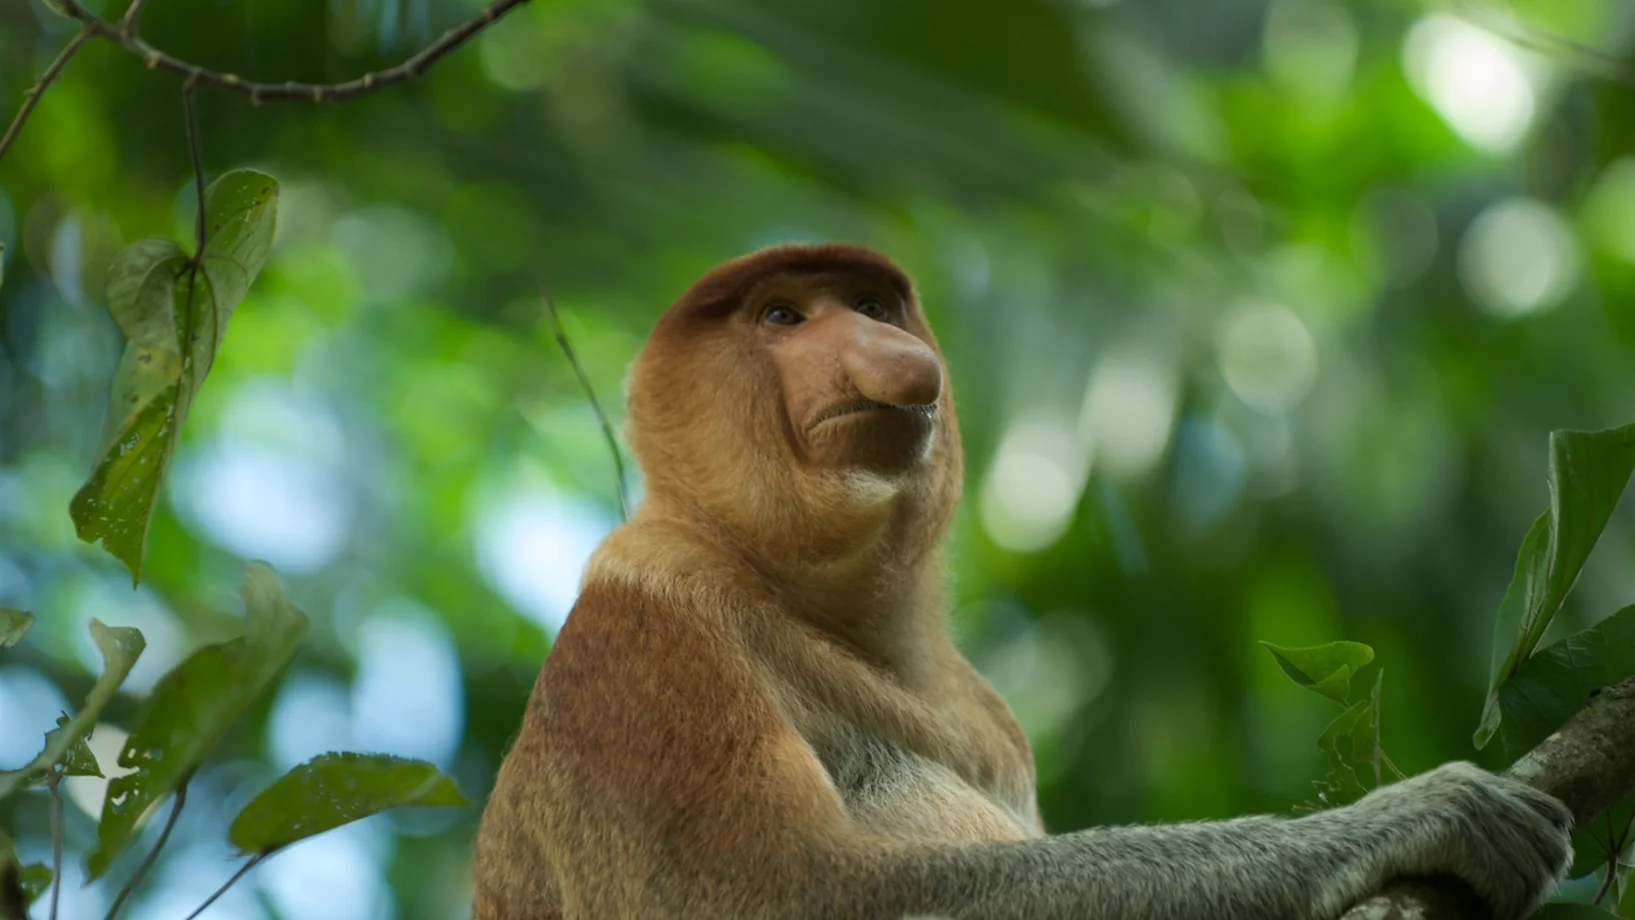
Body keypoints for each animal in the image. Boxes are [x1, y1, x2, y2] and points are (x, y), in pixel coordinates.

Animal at [470, 241, 1569, 915]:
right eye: (781, 315)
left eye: (868, 305)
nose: (888, 349)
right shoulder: (647, 630)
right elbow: (776, 894)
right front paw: (1426, 811)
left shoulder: (991, 717)